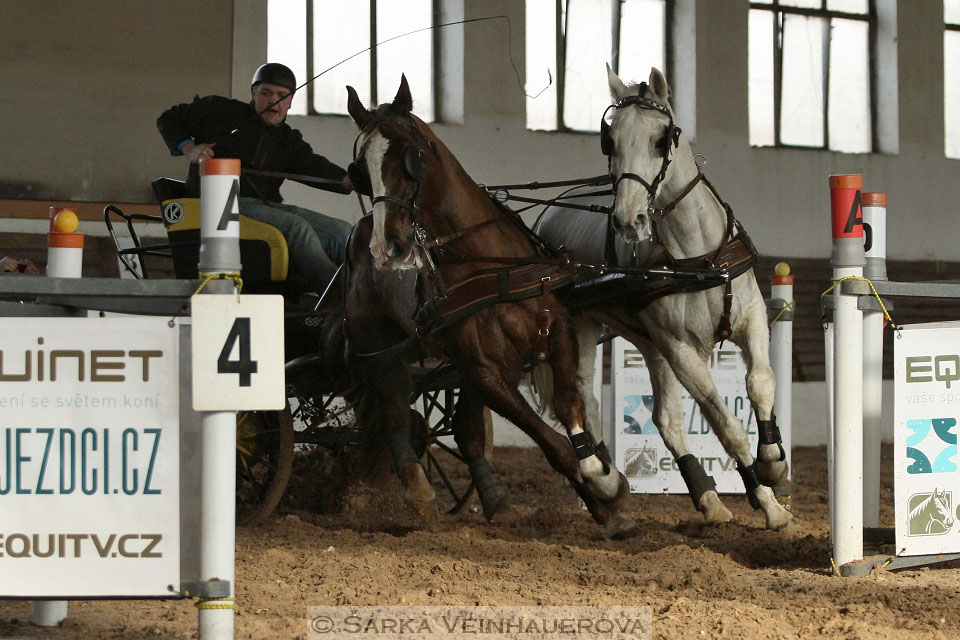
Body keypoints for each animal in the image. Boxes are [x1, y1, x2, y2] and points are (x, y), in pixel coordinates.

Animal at [344, 79, 636, 540]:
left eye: (411, 156)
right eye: (360, 168)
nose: (388, 247)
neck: (485, 262)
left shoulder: (556, 334)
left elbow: (570, 412)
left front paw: (606, 491)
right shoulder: (485, 371)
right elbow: (553, 446)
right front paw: (605, 490)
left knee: (464, 431)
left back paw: (496, 501)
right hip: (382, 350)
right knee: (395, 415)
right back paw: (420, 491)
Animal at [536, 67, 792, 532]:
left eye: (661, 138)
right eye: (610, 140)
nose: (628, 221)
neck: (696, 253)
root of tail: (552, 209)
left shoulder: (750, 318)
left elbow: (761, 384)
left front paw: (772, 465)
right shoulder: (681, 348)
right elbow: (725, 423)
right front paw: (767, 498)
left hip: (649, 342)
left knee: (666, 419)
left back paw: (708, 498)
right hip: (585, 324)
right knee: (586, 398)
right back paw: (604, 477)